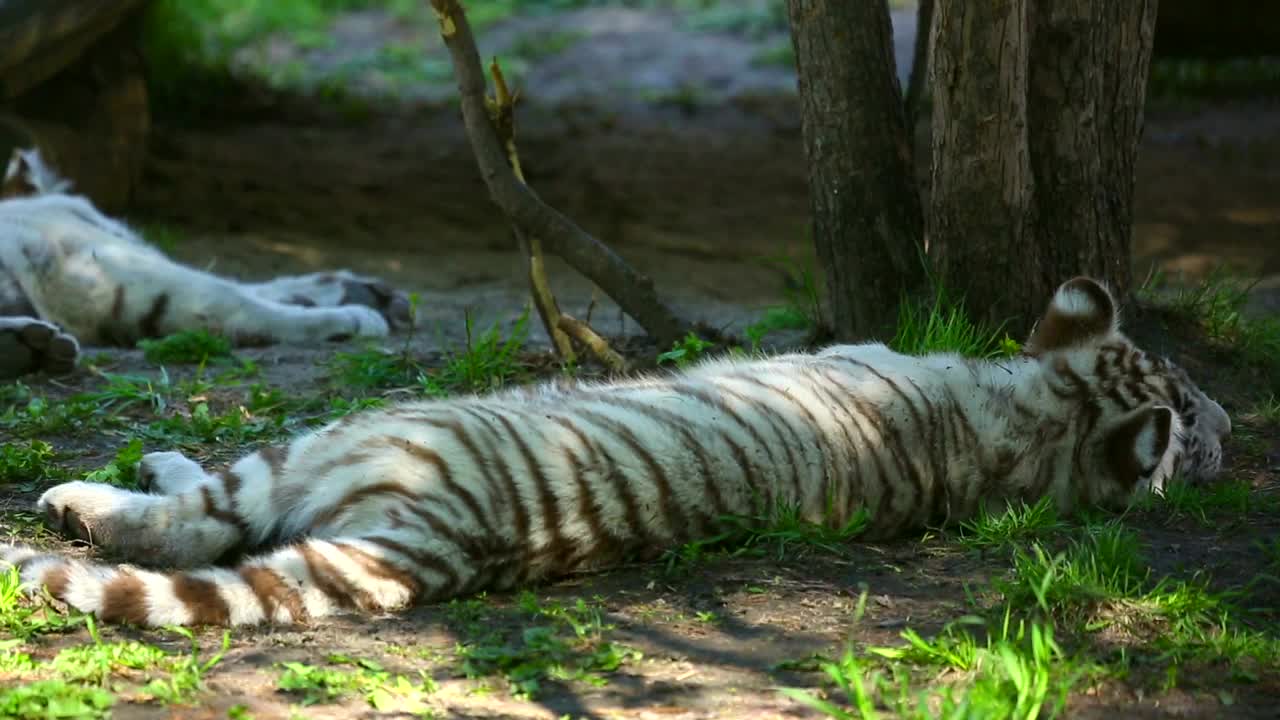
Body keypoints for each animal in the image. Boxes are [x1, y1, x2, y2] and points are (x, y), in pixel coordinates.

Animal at [0, 147, 412, 380]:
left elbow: (248, 287)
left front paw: (365, 292)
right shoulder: (98, 268)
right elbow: (238, 299)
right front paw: (356, 316)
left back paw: (28, 349)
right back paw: (25, 349)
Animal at [0, 276, 1231, 628]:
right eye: (1188, 394)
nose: (1229, 426)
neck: (1010, 426)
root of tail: (446, 540)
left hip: (332, 442)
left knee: (189, 520)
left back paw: (89, 492)